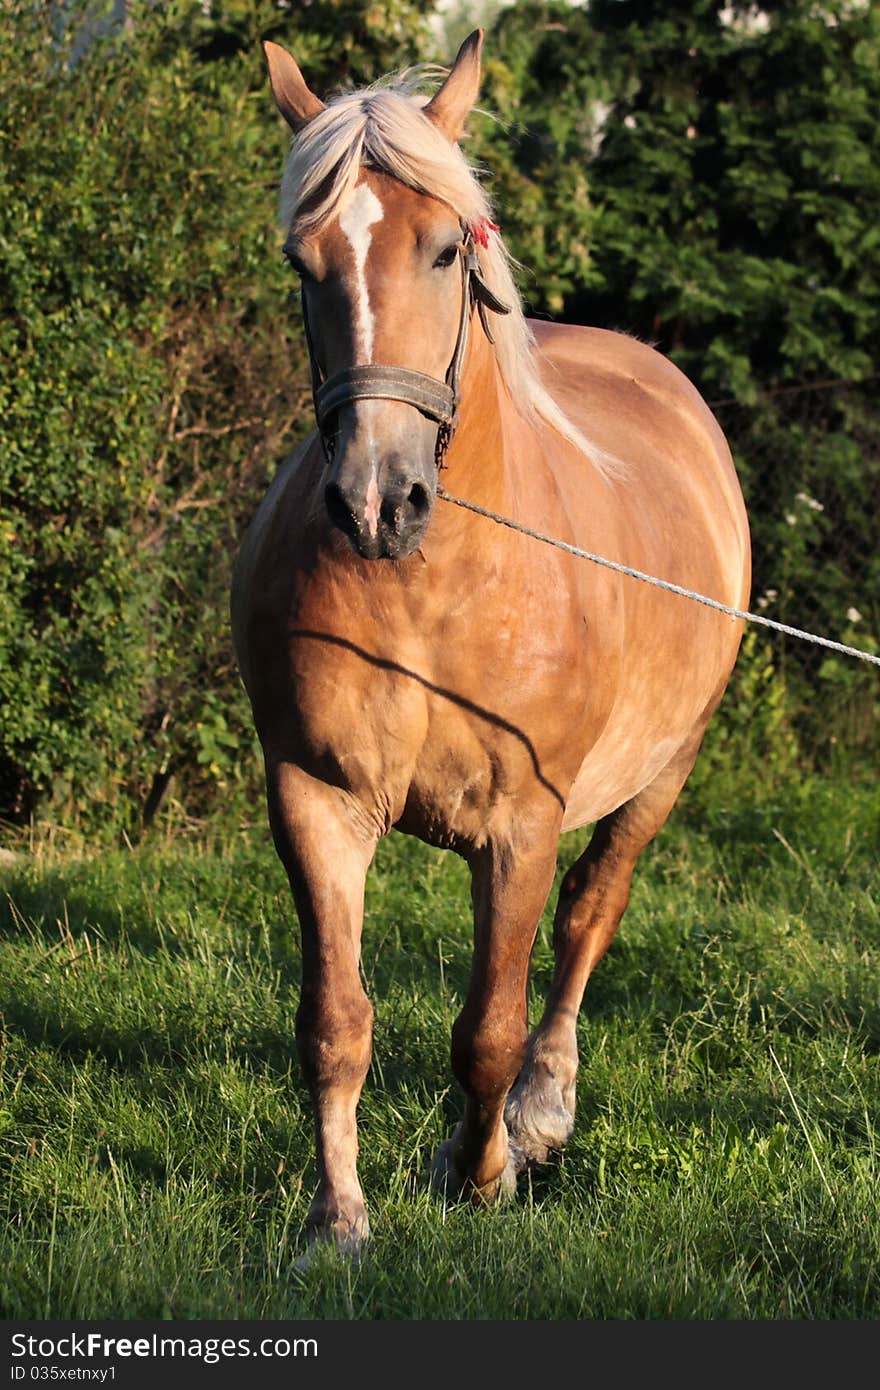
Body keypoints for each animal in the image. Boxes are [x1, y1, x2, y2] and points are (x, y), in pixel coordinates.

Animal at [232, 27, 750, 1262]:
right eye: (304, 262)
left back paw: (545, 1112)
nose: (380, 499)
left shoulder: (520, 828)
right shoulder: (314, 799)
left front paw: (482, 1173)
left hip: (663, 770)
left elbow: (488, 1030)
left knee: (591, 915)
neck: (431, 593)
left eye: (440, 252)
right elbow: (335, 1023)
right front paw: (337, 1220)